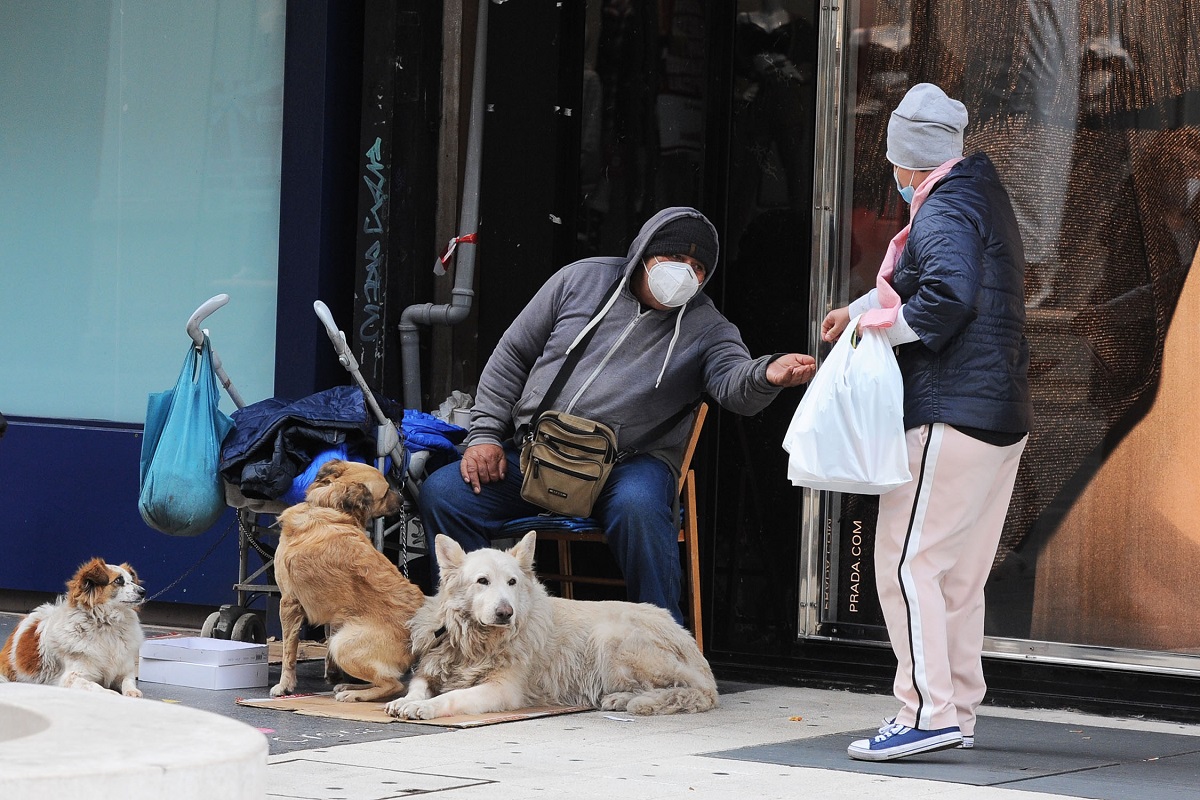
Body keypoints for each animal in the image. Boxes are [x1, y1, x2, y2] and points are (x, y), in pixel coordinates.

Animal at [0, 556, 146, 695]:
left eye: (132, 581)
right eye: (118, 580)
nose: (143, 592)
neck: (107, 625)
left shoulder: (124, 671)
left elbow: (128, 681)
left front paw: (132, 692)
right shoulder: (71, 678)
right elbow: (95, 686)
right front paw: (110, 694)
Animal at [272, 460, 427, 705]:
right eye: (385, 493)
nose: (404, 500)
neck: (326, 507)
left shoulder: (289, 603)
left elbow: (289, 651)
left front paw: (284, 685)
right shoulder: (333, 612)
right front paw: (332, 674)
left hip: (343, 644)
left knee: (394, 685)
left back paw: (353, 694)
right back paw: (349, 685)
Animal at [384, 532, 715, 719]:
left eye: (512, 582)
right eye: (482, 581)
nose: (505, 613)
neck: (479, 641)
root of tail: (687, 638)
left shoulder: (502, 690)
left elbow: (453, 696)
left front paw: (425, 708)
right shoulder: (428, 669)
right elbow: (416, 686)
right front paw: (406, 701)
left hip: (609, 637)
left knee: (688, 691)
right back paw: (619, 699)